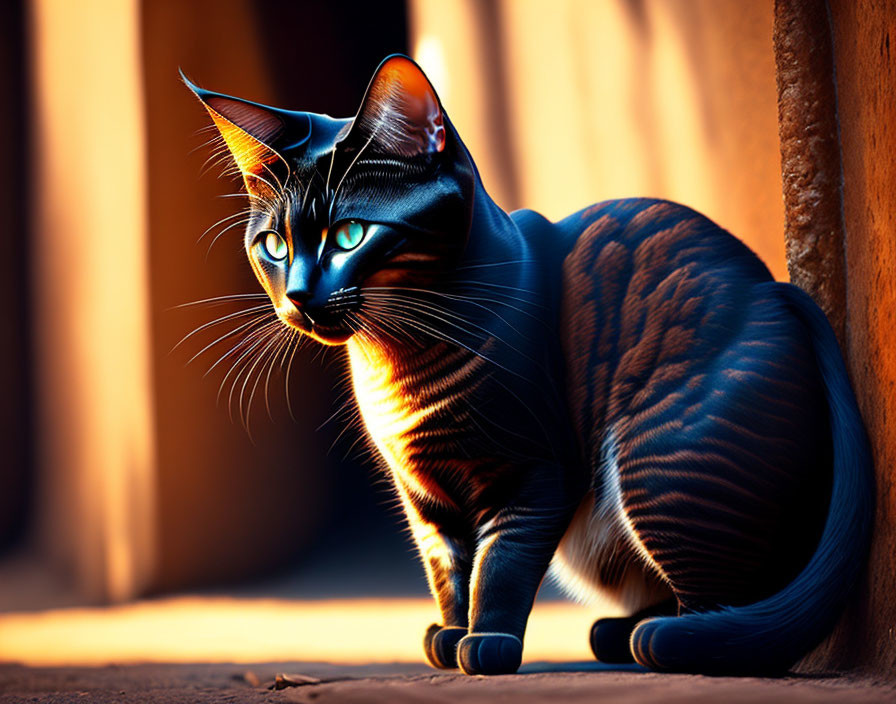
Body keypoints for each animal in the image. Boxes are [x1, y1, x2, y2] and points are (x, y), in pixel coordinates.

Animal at [186, 55, 872, 676]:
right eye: (275, 246)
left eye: (351, 234)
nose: (299, 295)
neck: (394, 365)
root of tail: (777, 289)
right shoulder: (423, 499)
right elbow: (447, 567)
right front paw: (449, 634)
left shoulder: (535, 473)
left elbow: (502, 564)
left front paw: (486, 643)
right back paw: (617, 630)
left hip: (666, 460)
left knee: (727, 602)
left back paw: (661, 637)